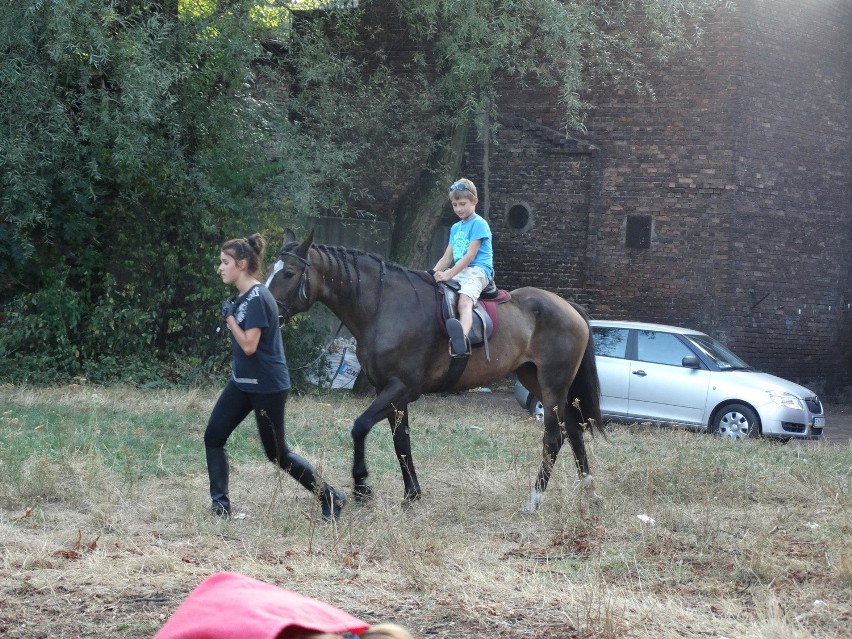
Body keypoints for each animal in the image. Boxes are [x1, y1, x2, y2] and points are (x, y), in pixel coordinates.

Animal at [266, 230, 604, 510]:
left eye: (289, 272)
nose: (268, 309)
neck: (386, 306)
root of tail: (569, 307)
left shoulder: (401, 387)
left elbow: (360, 427)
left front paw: (362, 486)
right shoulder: (392, 393)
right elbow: (401, 442)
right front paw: (411, 494)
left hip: (553, 383)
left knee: (554, 438)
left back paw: (534, 500)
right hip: (536, 380)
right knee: (572, 429)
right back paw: (589, 490)